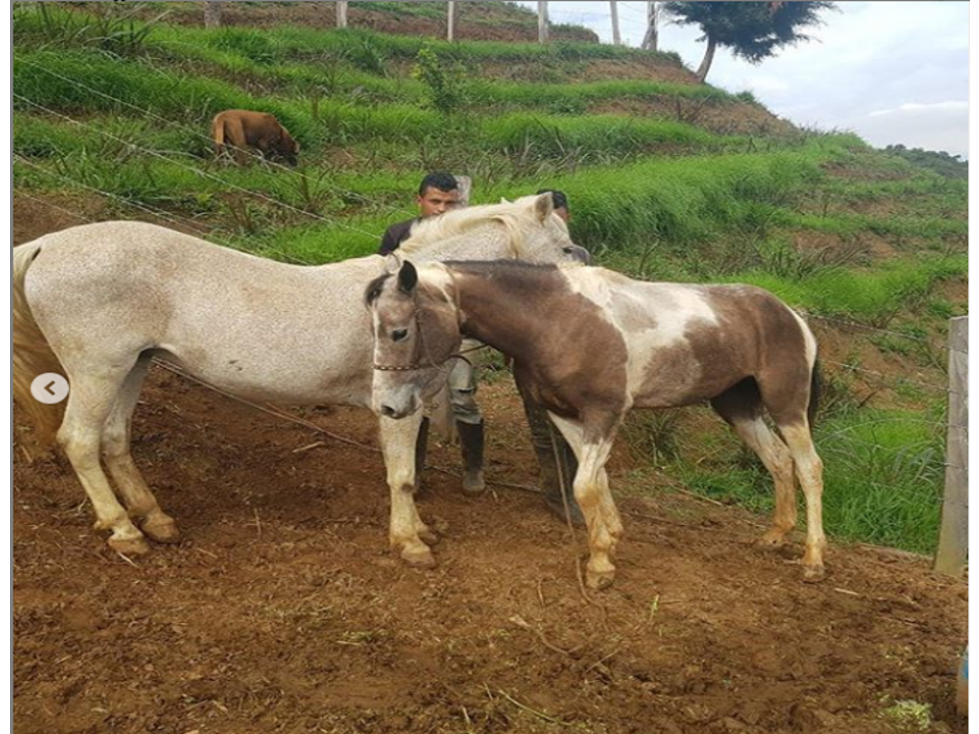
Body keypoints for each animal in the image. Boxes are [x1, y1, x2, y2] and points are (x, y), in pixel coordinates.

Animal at [13, 194, 579, 565]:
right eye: (566, 247)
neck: (415, 299)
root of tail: (46, 244)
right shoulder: (398, 405)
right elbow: (402, 475)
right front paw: (410, 542)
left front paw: (419, 530)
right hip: (96, 371)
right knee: (79, 441)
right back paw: (124, 531)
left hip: (134, 365)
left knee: (113, 440)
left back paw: (155, 520)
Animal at [366, 260, 826, 589]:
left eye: (399, 331)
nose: (385, 405)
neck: (557, 321)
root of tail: (791, 314)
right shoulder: (566, 416)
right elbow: (596, 482)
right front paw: (610, 540)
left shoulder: (604, 413)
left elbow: (584, 486)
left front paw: (600, 564)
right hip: (737, 407)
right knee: (779, 461)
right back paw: (774, 537)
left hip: (787, 406)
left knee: (809, 469)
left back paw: (813, 560)